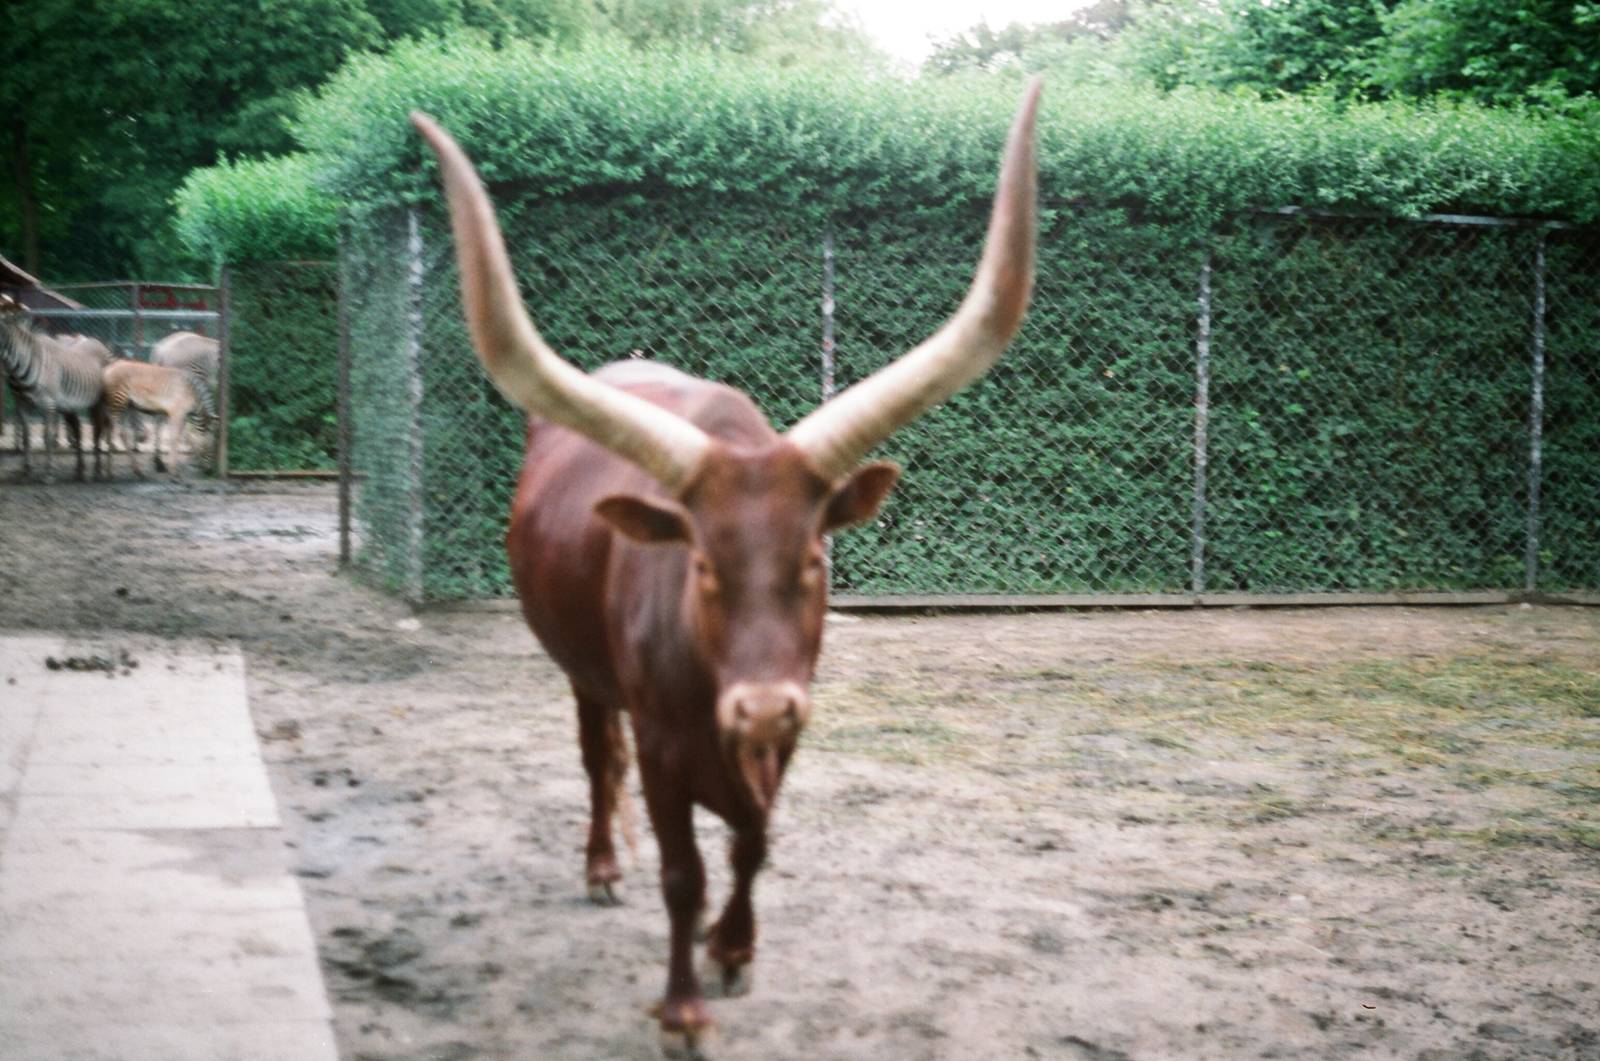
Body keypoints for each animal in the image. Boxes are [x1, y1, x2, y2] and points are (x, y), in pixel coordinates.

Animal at [412, 78, 1040, 1058]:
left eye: (815, 555)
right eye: (700, 563)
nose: (762, 704)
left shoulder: (786, 736)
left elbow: (752, 845)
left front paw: (733, 949)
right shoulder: (667, 745)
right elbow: (684, 871)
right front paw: (682, 1008)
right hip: (584, 672)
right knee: (597, 756)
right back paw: (603, 862)